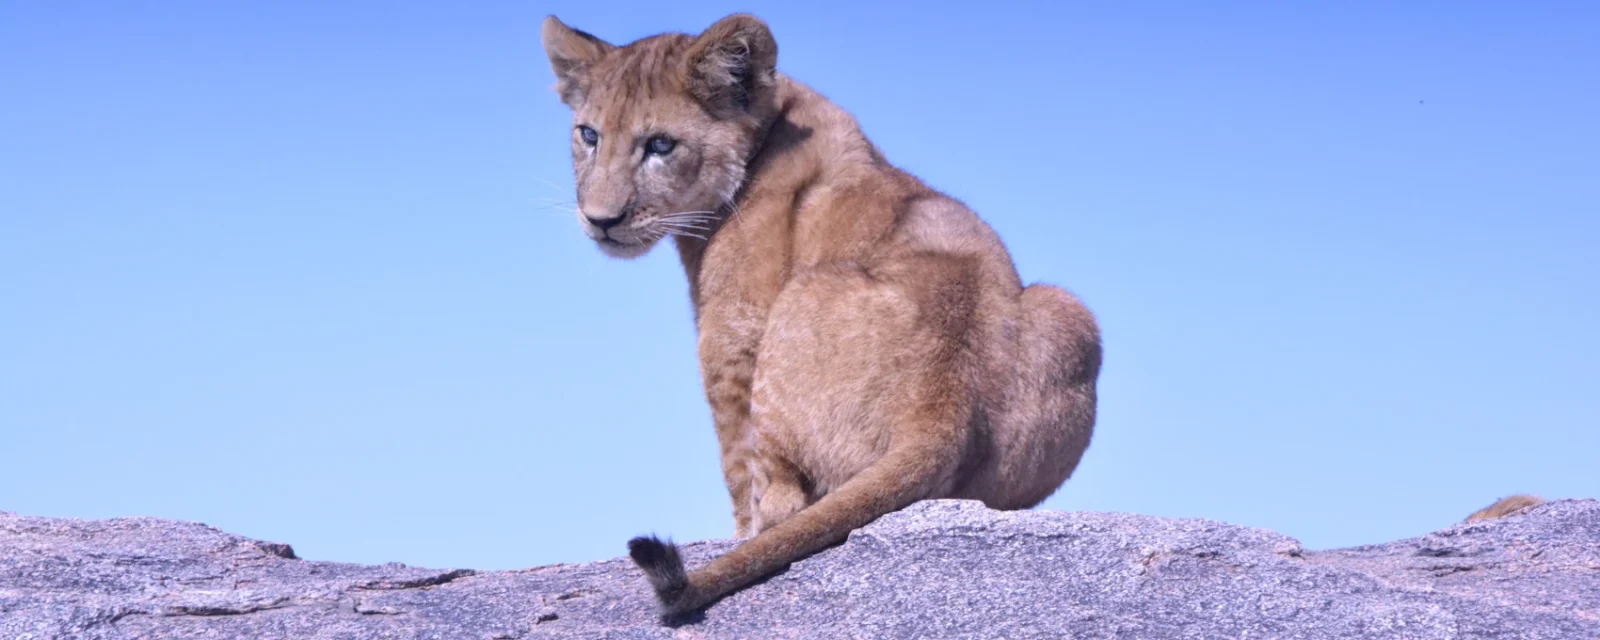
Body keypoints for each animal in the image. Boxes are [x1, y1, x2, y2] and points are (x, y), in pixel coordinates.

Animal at [540, 13, 1103, 619]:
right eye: (589, 135)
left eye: (660, 144)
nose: (601, 220)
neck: (772, 119)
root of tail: (941, 412)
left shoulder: (731, 340)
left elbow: (740, 471)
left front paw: (739, 534)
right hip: (1069, 313)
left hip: (800, 295)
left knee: (784, 502)